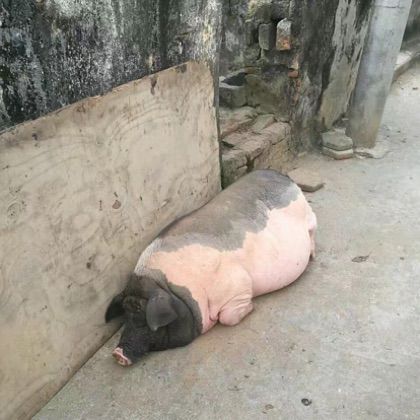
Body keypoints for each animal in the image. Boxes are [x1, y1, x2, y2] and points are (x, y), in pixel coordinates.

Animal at [105, 169, 317, 366]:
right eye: (125, 314)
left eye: (142, 313)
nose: (117, 354)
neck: (169, 288)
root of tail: (279, 174)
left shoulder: (237, 283)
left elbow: (228, 317)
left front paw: (250, 307)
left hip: (308, 215)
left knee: (313, 230)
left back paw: (313, 255)